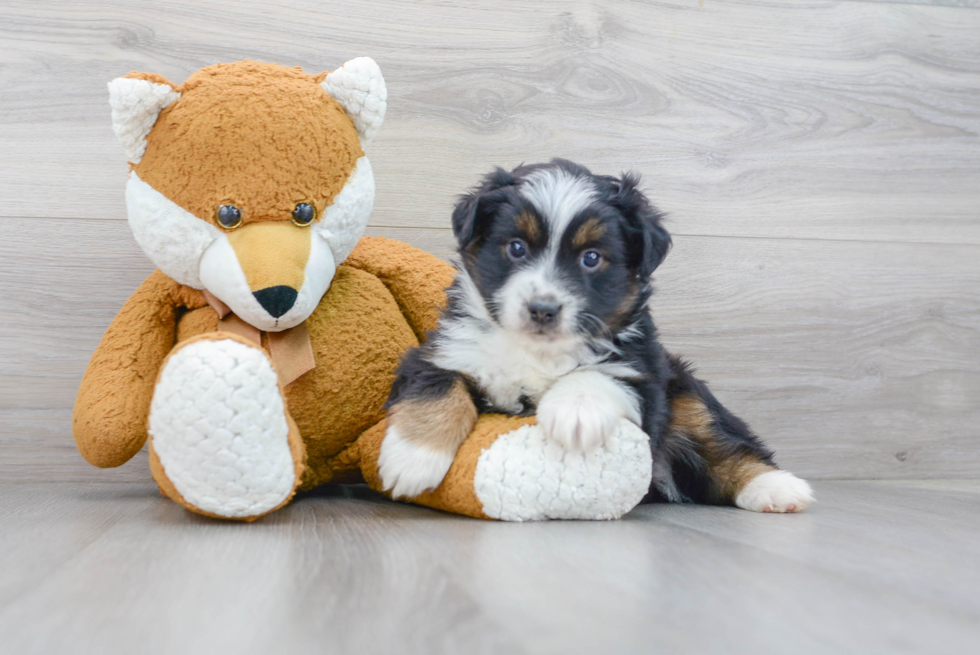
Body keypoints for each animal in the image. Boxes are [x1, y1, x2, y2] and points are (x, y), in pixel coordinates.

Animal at [378, 158, 816, 512]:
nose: (543, 308)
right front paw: (411, 459)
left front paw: (574, 414)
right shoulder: (444, 351)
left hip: (686, 393)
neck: (538, 353)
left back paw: (777, 488)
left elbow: (600, 375)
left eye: (591, 258)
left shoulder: (644, 374)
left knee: (726, 448)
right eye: (516, 248)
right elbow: (438, 388)